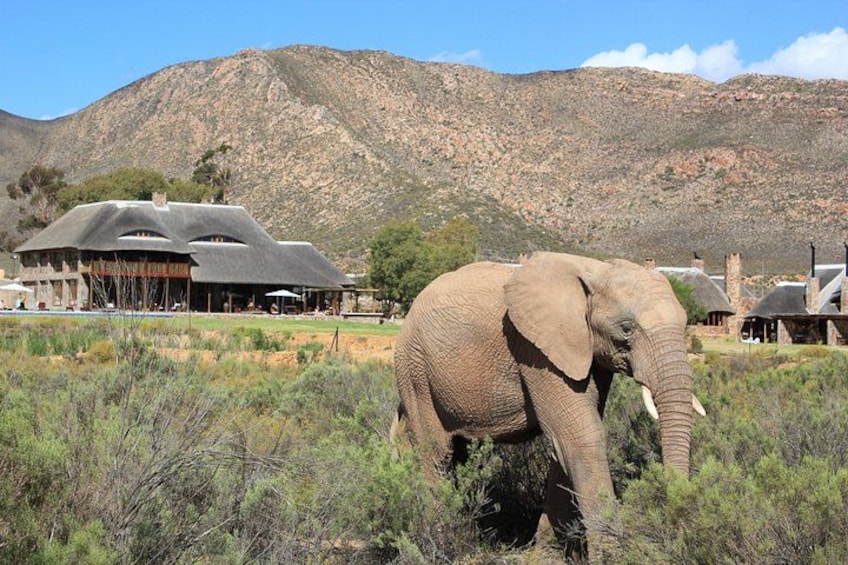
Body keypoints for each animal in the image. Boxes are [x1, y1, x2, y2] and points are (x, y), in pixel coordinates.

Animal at [392, 251, 704, 552]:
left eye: (686, 324)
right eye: (627, 328)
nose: (675, 515)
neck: (595, 269)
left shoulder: (588, 354)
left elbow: (564, 441)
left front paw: (547, 549)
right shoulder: (535, 350)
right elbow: (581, 435)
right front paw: (613, 555)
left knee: (459, 453)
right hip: (414, 370)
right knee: (437, 452)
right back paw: (443, 539)